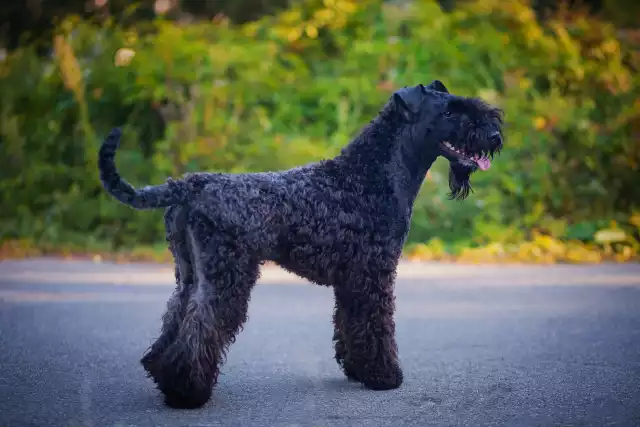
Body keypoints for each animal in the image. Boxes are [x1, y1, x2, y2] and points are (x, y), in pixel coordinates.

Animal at [96, 78, 504, 410]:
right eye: (450, 111)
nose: (496, 135)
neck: (371, 175)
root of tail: (191, 185)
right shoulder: (374, 273)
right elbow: (377, 324)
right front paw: (385, 376)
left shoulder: (352, 280)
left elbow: (350, 323)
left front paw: (357, 370)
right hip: (226, 278)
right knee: (202, 326)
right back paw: (186, 392)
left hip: (189, 275)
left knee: (176, 317)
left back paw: (161, 373)